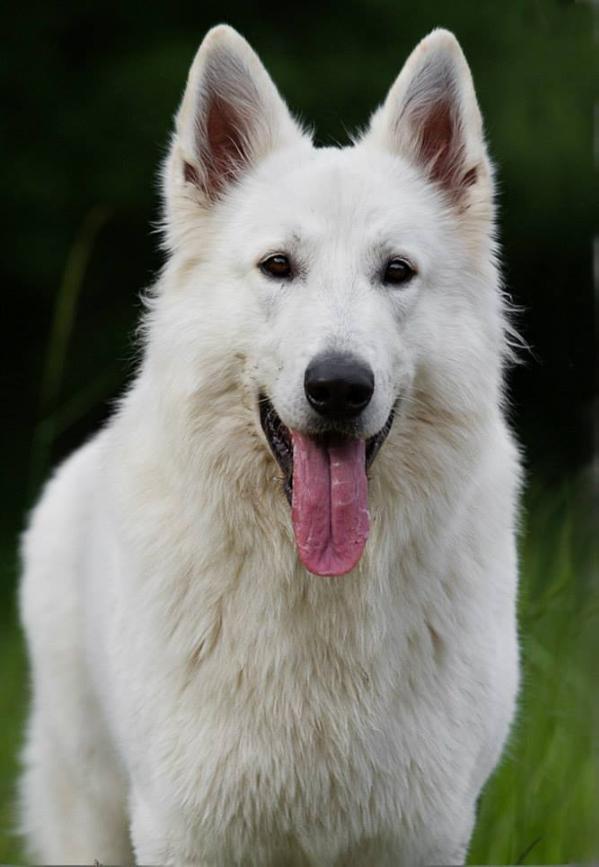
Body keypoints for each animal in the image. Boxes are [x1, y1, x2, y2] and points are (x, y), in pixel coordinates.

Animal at [19, 25, 520, 867]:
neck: (316, 590)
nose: (339, 386)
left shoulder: (421, 832)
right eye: (278, 266)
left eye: (396, 271)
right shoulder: (186, 830)